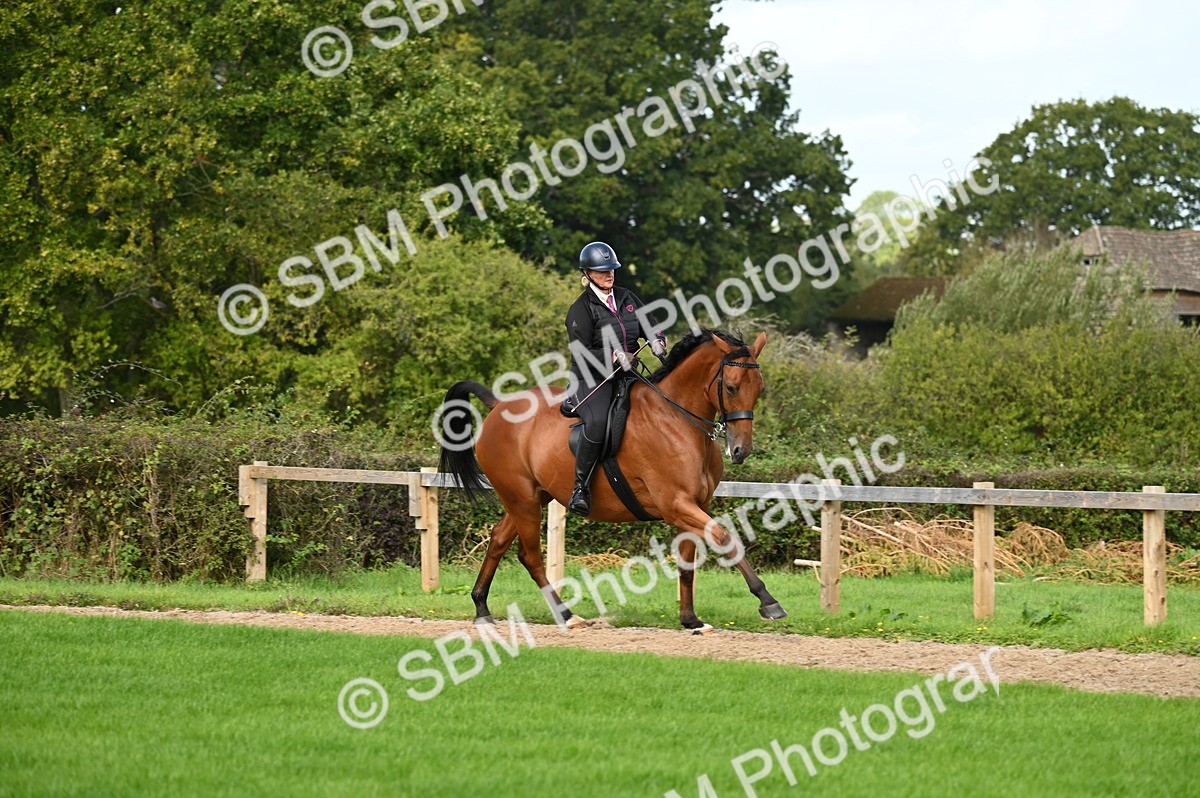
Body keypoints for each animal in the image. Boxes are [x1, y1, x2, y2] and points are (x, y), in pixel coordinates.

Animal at [438, 328, 787, 632]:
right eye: (731, 387)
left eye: (759, 388)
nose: (740, 450)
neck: (677, 419)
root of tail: (499, 407)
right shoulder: (677, 505)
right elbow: (727, 539)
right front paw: (767, 600)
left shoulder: (693, 506)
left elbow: (687, 563)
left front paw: (690, 620)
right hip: (521, 499)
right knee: (531, 556)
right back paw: (566, 615)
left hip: (532, 498)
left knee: (499, 540)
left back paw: (481, 608)